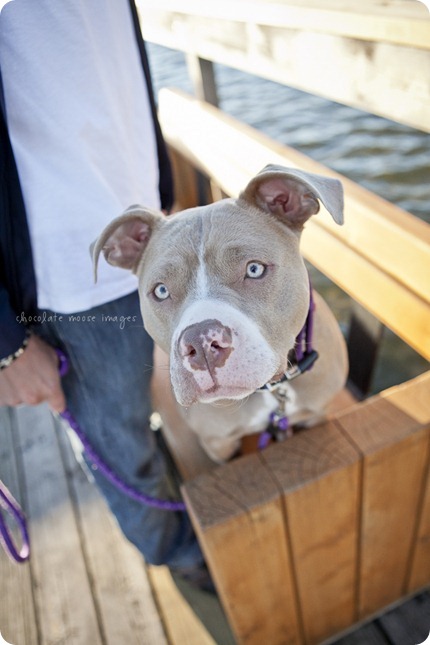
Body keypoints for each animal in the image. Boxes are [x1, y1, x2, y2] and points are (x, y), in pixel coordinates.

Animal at [93, 164, 350, 460]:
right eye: (161, 291)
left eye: (254, 269)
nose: (201, 342)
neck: (273, 391)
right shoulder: (217, 444)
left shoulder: (316, 415)